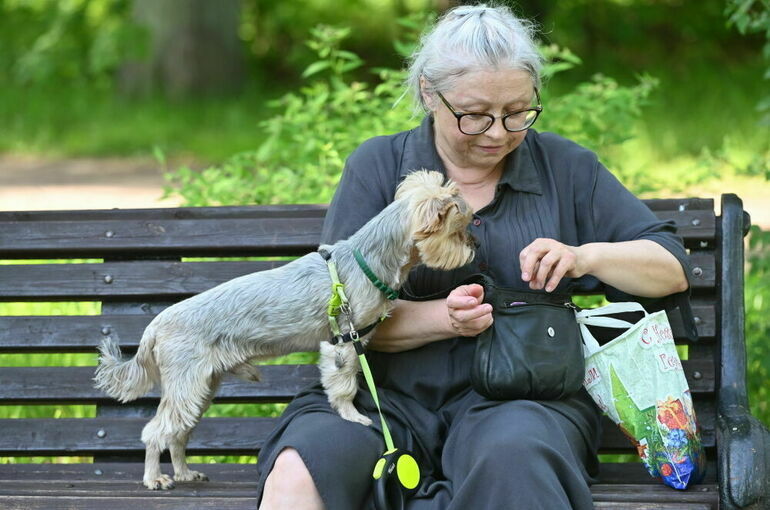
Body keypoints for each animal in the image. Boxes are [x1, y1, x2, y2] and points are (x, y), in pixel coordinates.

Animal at [93, 171, 472, 490]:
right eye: (457, 231)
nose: (475, 247)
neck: (368, 258)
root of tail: (156, 325)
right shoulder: (341, 343)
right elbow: (344, 387)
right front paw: (353, 417)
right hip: (187, 386)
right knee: (155, 432)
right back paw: (154, 479)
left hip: (200, 388)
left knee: (177, 434)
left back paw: (185, 473)